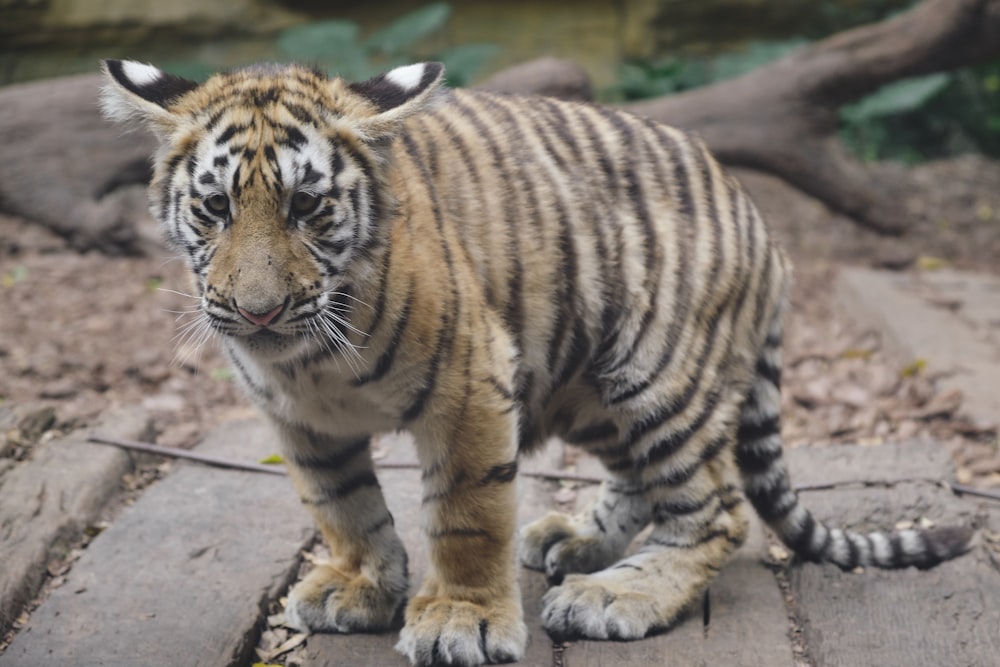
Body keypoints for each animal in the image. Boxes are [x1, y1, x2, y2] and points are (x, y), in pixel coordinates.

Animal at [101, 60, 968, 664]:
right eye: (215, 208)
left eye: (307, 207)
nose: (258, 310)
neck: (311, 358)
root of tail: (761, 222)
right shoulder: (300, 420)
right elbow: (340, 505)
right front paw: (363, 584)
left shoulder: (470, 384)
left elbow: (466, 513)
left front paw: (462, 619)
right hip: (586, 383)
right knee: (642, 479)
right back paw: (575, 539)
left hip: (656, 369)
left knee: (715, 509)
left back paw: (616, 593)